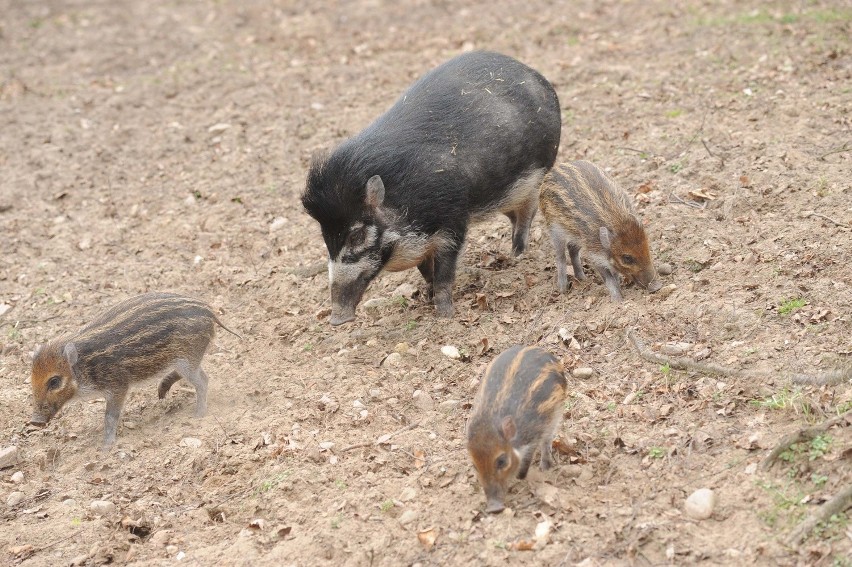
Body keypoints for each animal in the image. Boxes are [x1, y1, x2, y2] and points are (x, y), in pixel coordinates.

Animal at [302, 51, 564, 326]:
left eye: (357, 235)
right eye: (325, 236)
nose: (336, 319)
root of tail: (534, 73)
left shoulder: (453, 222)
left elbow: (444, 272)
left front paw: (445, 314)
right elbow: (425, 270)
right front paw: (427, 297)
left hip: (535, 177)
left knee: (526, 215)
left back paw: (517, 256)